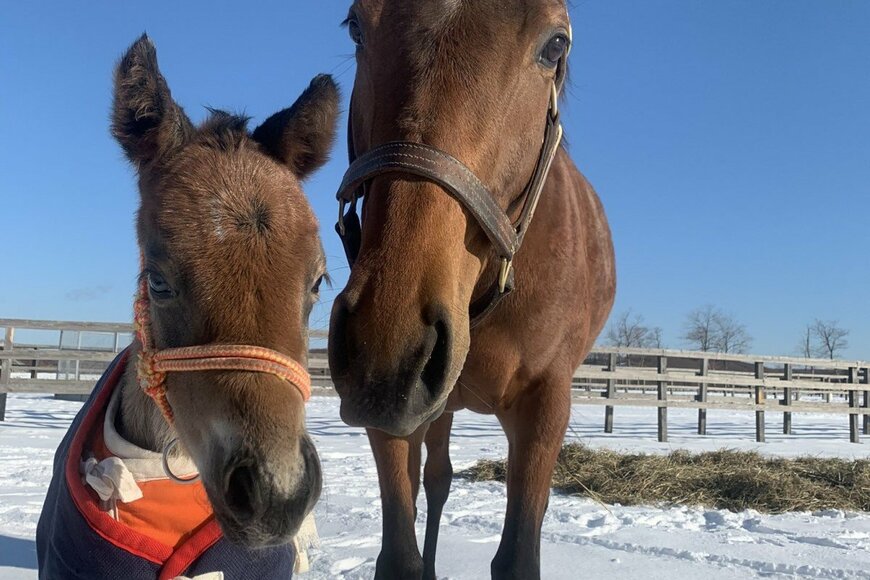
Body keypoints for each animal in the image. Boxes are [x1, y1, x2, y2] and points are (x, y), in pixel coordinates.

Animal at [328, 2, 620, 576]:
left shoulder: (544, 405)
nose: (387, 345)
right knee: (437, 481)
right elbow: (400, 552)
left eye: (556, 44)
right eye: (355, 27)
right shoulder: (394, 414)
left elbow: (519, 552)